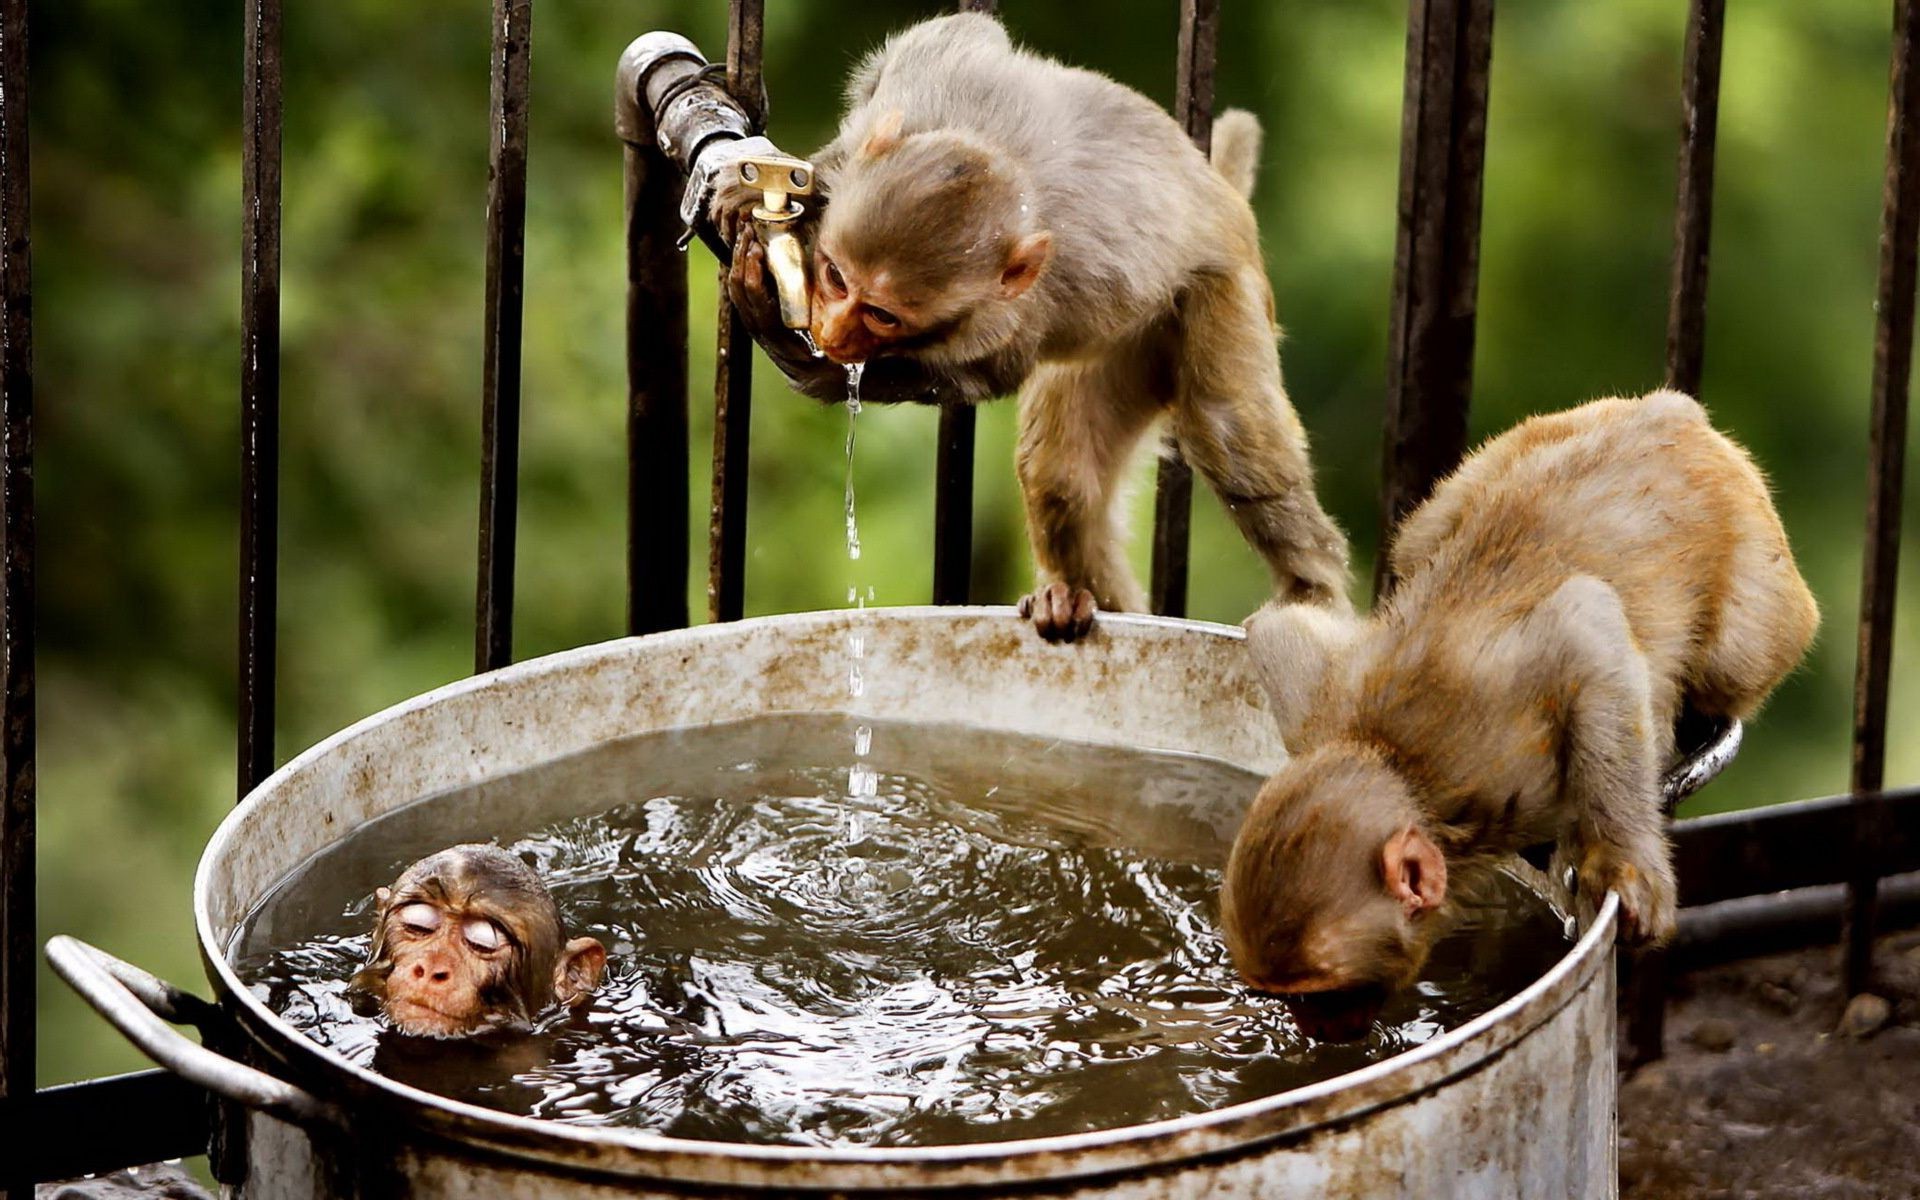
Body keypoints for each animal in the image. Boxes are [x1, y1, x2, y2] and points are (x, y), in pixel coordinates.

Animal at [714, 14, 1359, 641]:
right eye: (835, 276)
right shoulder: (926, 80)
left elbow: (983, 374)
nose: (833, 332)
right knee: (1061, 475)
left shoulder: (1013, 314)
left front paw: (802, 356)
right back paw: (1075, 597)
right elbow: (956, 34)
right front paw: (785, 188)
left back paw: (1311, 592)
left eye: (882, 315)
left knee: (1224, 428)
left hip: (1218, 293)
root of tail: (1226, 198)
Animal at [1221, 391, 1820, 1013]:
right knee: (1420, 540)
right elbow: (1275, 628)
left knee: (1732, 660)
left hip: (1754, 561)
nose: (1306, 1023)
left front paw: (1626, 862)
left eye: (1322, 995)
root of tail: (1669, 412)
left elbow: (1585, 622)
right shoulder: (1322, 709)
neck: (1401, 765)